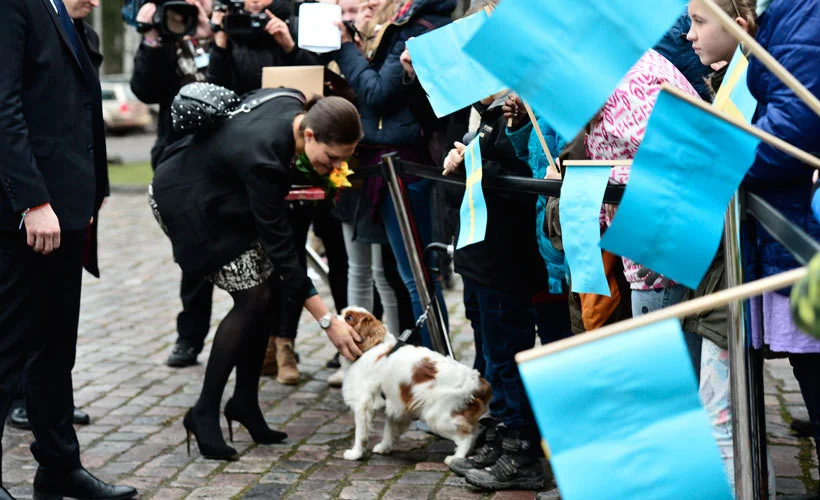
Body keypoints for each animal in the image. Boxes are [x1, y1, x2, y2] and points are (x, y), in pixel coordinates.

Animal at [336, 304, 490, 464]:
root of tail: (475, 380)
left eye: (349, 318)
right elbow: (389, 431)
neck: (370, 348)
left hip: (438, 417)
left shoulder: (363, 406)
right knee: (474, 432)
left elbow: (360, 434)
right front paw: (384, 447)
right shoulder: (397, 405)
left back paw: (455, 458)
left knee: (466, 436)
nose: (334, 318)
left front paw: (355, 453)